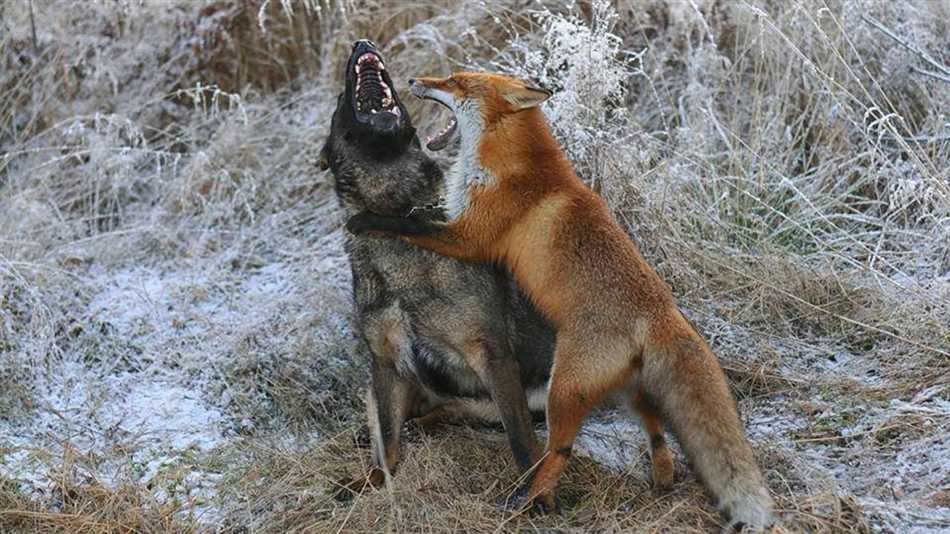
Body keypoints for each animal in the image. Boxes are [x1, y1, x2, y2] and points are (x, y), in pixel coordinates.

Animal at [346, 71, 776, 532]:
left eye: (457, 81)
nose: (414, 78)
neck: (511, 165)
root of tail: (663, 310)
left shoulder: (468, 237)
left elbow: (406, 224)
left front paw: (366, 219)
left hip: (562, 390)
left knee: (559, 451)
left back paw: (526, 499)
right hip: (619, 386)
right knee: (653, 420)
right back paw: (660, 474)